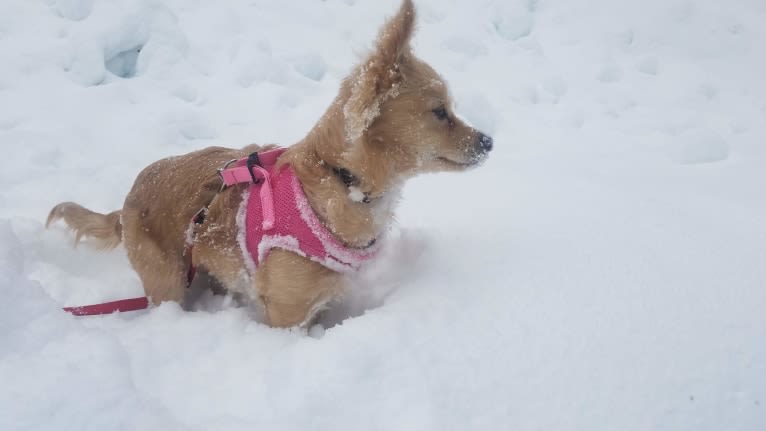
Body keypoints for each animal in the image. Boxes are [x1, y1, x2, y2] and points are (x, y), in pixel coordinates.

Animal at [48, 0, 496, 330]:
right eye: (440, 112)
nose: (489, 141)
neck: (340, 180)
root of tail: (127, 200)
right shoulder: (286, 312)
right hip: (167, 284)